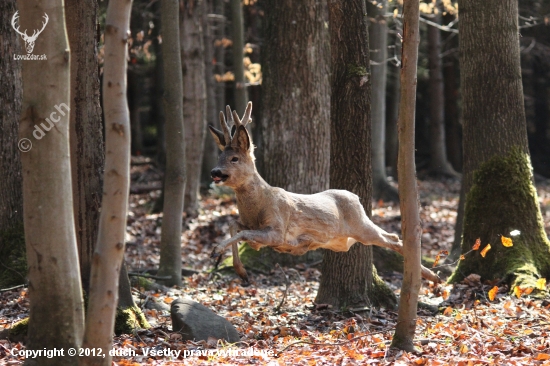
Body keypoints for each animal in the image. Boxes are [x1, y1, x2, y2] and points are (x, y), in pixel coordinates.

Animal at [209, 101, 442, 284]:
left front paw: (216, 251)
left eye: (234, 159)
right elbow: (233, 225)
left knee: (393, 239)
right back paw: (431, 277)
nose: (214, 171)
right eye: (220, 156)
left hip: (361, 224)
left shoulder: (278, 229)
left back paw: (433, 277)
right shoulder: (250, 225)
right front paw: (240, 271)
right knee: (390, 237)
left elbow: (243, 233)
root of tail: (355, 197)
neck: (257, 207)